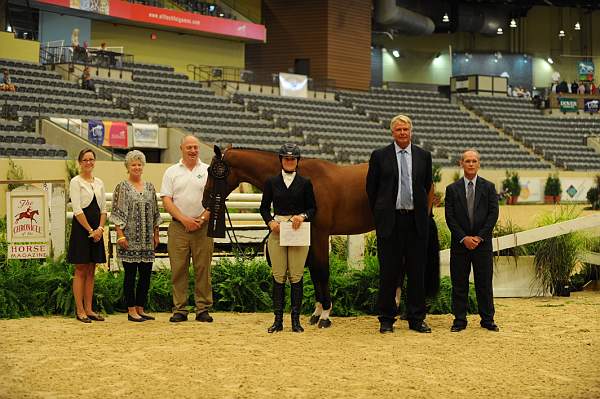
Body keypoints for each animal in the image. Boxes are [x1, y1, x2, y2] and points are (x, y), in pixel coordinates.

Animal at [204, 147, 438, 328]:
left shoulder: (320, 234)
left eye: (211, 171)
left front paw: (326, 315)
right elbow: (315, 272)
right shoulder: (309, 235)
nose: (206, 202)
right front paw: (316, 313)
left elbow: (322, 271)